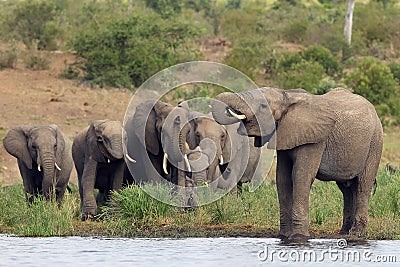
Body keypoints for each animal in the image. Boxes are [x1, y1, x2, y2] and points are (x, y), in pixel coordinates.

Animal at [212, 88, 384, 241]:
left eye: (263, 106)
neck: (287, 96)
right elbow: (283, 179)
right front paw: (283, 236)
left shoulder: (315, 139)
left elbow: (300, 176)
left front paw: (299, 237)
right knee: (346, 189)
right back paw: (344, 233)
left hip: (375, 143)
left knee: (362, 185)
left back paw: (357, 233)